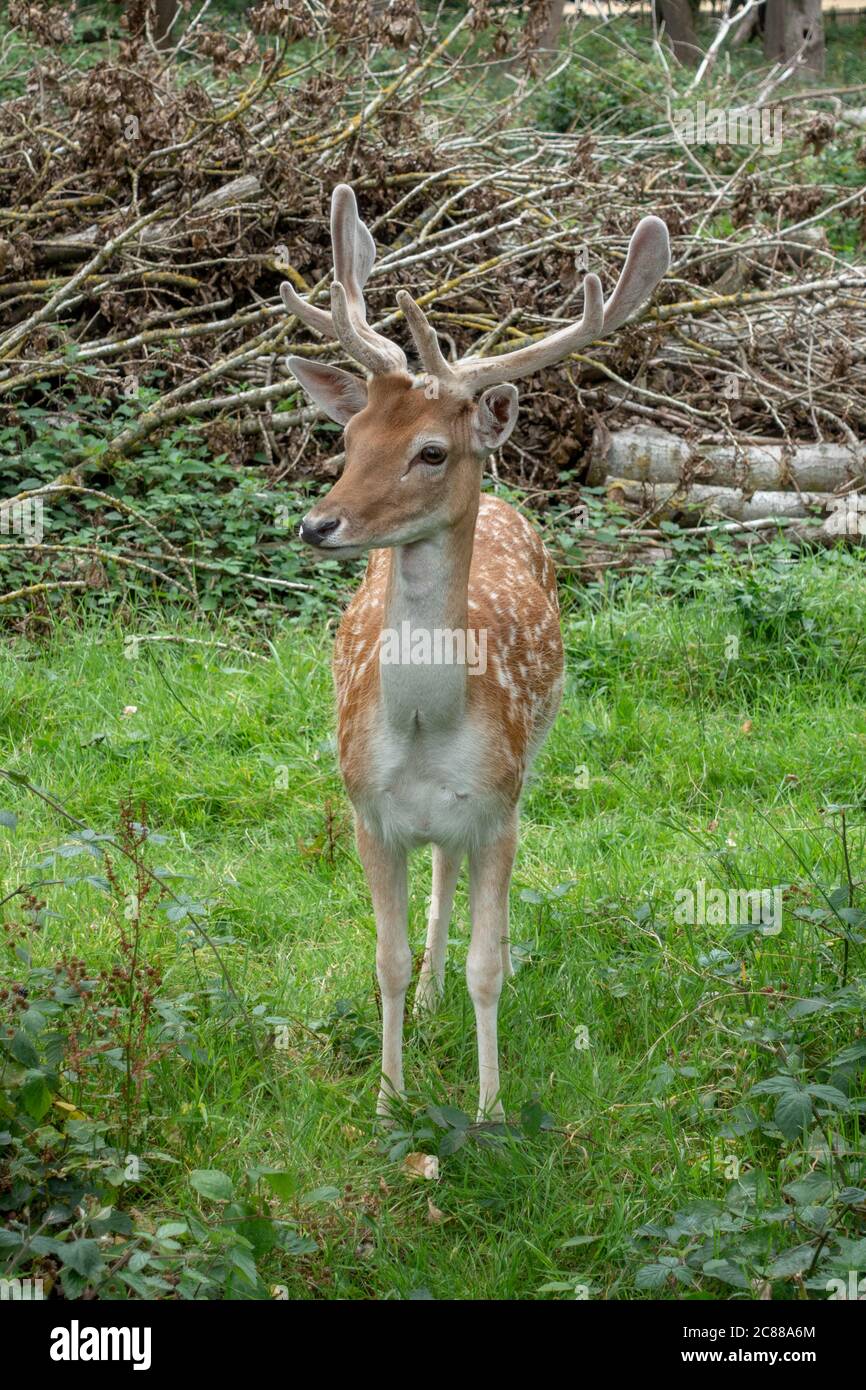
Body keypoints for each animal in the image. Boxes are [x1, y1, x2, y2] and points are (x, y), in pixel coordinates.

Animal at [282, 185, 669, 1121]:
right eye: (350, 441)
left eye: (431, 450)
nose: (319, 524)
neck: (425, 729)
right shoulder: (366, 810)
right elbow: (382, 961)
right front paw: (388, 1101)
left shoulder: (501, 807)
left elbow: (488, 965)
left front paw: (491, 1113)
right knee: (436, 883)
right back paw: (426, 1002)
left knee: (454, 880)